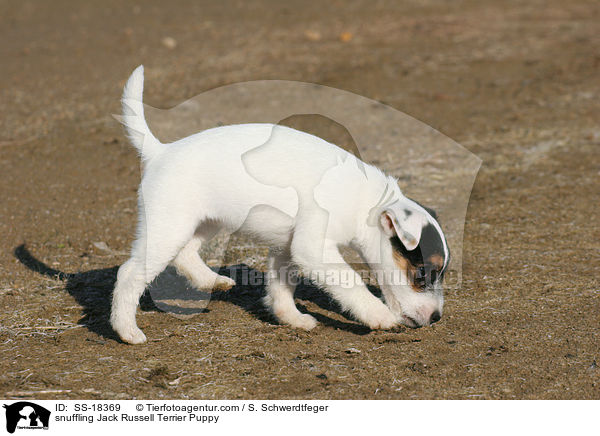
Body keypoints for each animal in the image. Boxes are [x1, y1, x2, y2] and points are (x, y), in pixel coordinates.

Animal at [111, 65, 450, 344]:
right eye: (422, 273)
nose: (437, 318)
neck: (365, 202)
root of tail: (160, 151)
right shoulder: (313, 248)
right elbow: (352, 282)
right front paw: (379, 315)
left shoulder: (287, 247)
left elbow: (281, 287)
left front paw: (292, 318)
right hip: (168, 226)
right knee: (129, 273)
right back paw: (127, 331)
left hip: (203, 222)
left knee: (185, 253)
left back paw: (212, 281)